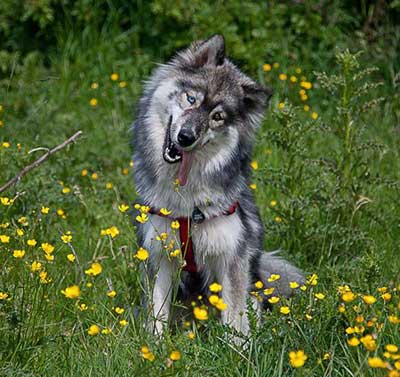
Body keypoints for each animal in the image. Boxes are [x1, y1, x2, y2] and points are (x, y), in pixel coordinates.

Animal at [132, 35, 304, 334]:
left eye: (218, 117)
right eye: (191, 98)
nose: (185, 137)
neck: (187, 204)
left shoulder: (232, 257)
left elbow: (235, 317)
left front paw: (237, 346)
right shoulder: (161, 255)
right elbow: (156, 313)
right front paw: (153, 345)